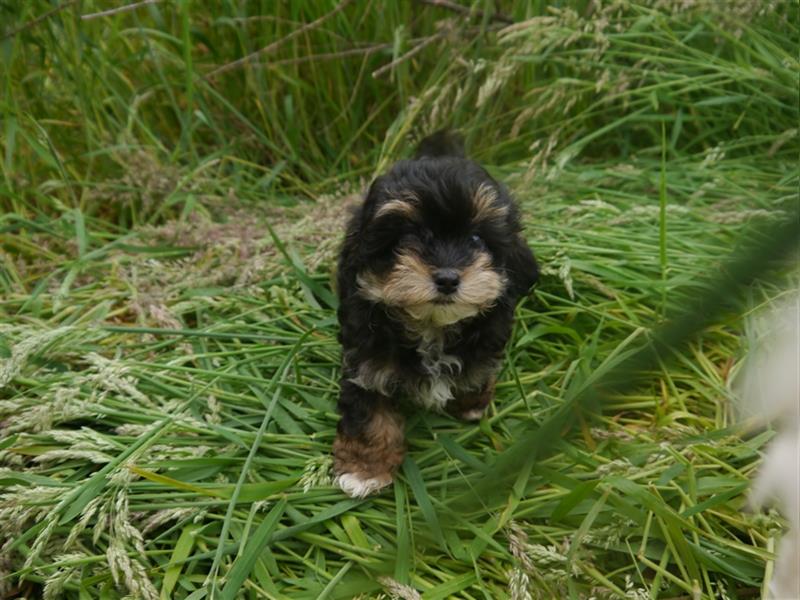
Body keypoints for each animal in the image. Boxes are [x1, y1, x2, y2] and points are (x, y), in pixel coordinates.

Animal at [332, 131, 536, 496]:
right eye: (408, 238)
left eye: (476, 239)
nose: (447, 278)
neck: (430, 327)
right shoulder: (366, 360)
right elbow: (369, 412)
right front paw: (364, 470)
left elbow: (479, 367)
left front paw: (471, 402)